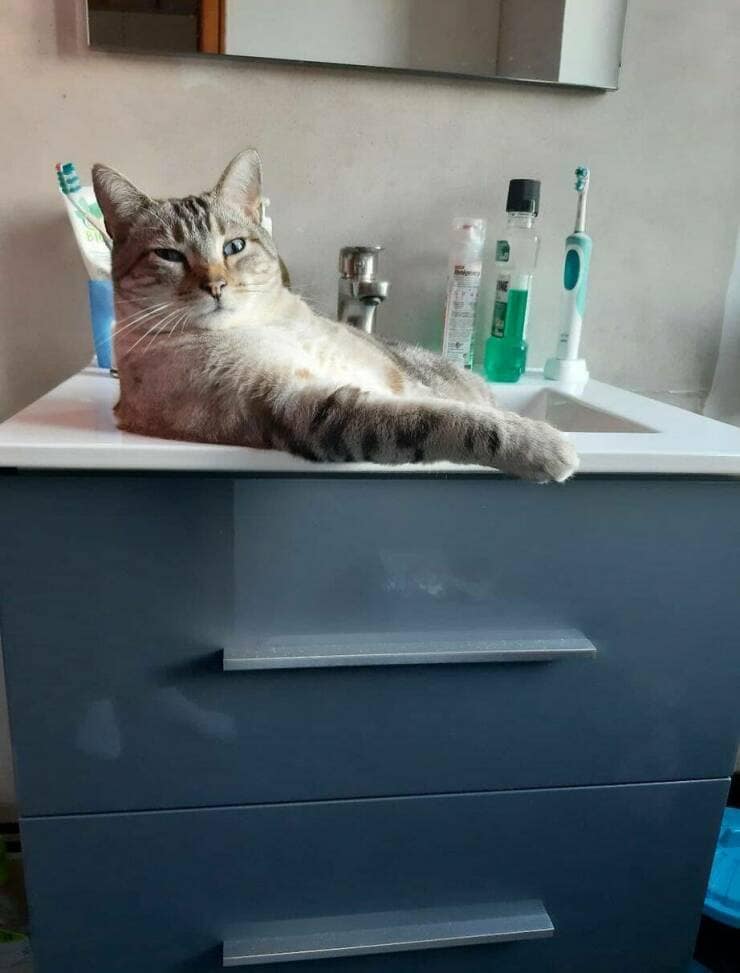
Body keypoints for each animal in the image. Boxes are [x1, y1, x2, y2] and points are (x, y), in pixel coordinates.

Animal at [92, 150, 578, 481]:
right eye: (169, 255)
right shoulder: (298, 405)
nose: (215, 285)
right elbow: (445, 420)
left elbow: (445, 404)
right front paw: (546, 444)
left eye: (234, 247)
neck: (257, 324)